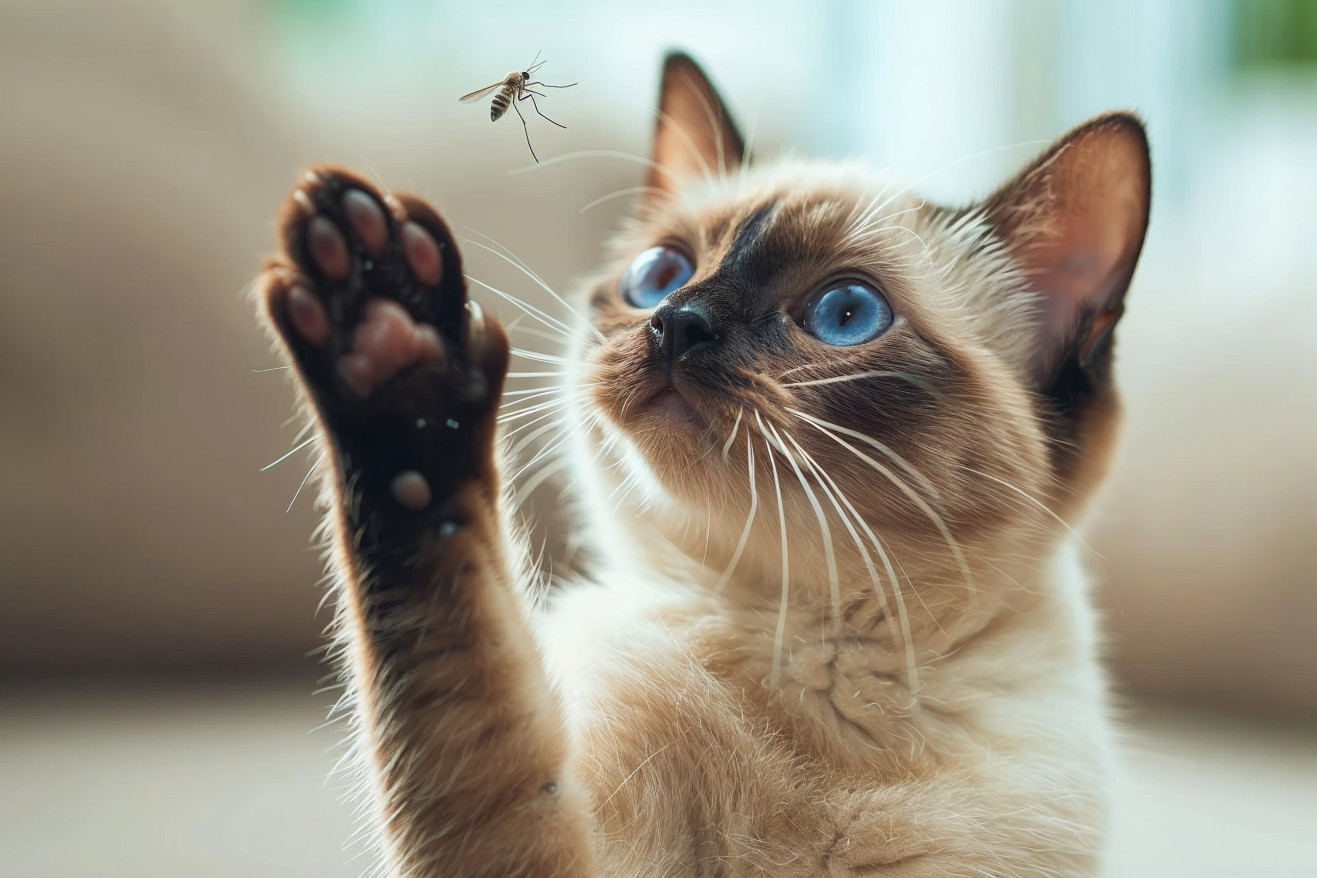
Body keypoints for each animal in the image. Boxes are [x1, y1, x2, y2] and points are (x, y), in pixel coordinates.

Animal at [251, 53, 1148, 878]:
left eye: (845, 313)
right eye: (660, 275)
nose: (678, 323)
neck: (795, 638)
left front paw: (394, 347)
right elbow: (461, 643)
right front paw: (391, 351)